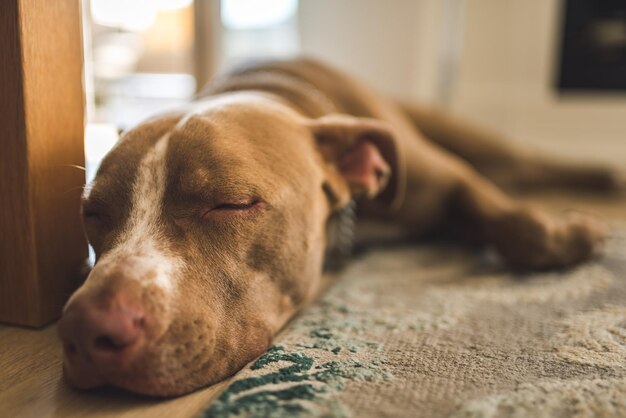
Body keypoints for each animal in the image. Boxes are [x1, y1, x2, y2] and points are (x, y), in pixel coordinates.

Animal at [56, 57, 620, 396]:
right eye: (92, 214)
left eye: (231, 204)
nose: (85, 327)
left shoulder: (446, 177)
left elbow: (513, 219)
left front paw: (569, 235)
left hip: (468, 136)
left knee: (527, 161)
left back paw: (603, 173)